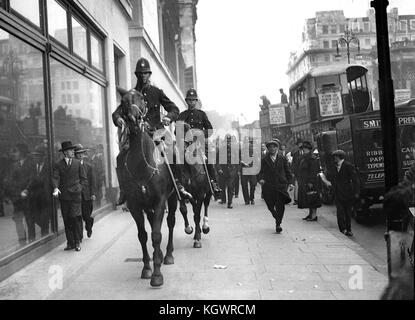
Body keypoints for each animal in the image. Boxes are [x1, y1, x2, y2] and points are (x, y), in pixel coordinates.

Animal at [120, 89, 179, 288]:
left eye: (142, 99)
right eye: (123, 102)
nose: (133, 119)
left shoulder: (160, 201)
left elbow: (156, 235)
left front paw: (157, 275)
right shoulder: (135, 206)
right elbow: (143, 236)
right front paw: (147, 268)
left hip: (172, 199)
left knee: (170, 222)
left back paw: (167, 255)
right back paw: (158, 255)